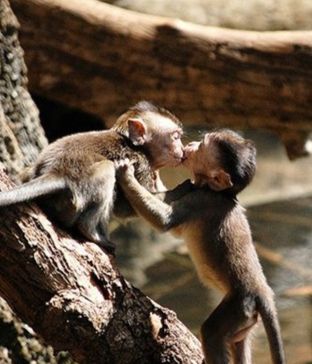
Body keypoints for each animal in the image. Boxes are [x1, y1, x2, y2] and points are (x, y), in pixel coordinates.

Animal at [0, 101, 185, 252]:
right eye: (175, 137)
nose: (182, 149)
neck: (137, 146)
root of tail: (55, 171)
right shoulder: (141, 164)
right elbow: (125, 209)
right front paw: (183, 189)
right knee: (107, 170)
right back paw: (91, 233)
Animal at [114, 130, 286, 364]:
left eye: (202, 146)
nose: (191, 145)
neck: (221, 193)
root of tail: (262, 292)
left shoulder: (200, 200)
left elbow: (165, 221)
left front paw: (126, 176)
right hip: (247, 317)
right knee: (238, 341)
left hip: (240, 305)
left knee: (212, 332)